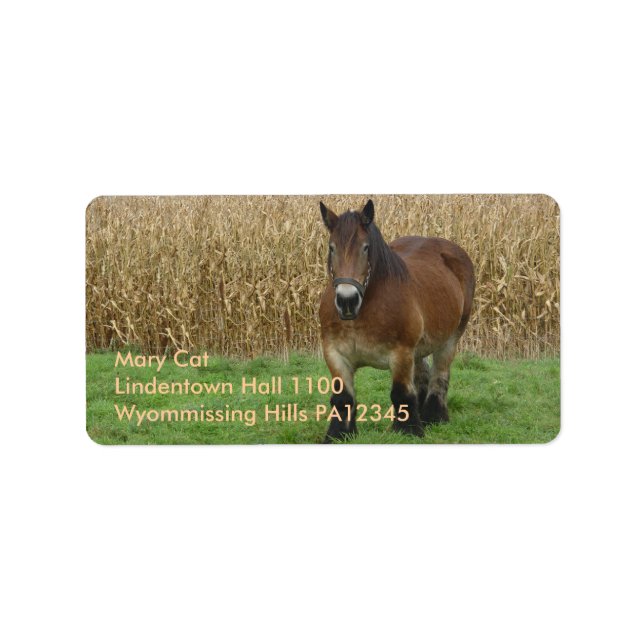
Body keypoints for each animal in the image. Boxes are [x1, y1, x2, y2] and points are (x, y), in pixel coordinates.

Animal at [318, 199, 475, 443]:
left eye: (365, 248)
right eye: (331, 247)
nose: (347, 300)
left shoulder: (401, 353)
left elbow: (401, 394)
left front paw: (409, 430)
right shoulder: (334, 353)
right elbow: (342, 399)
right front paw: (339, 434)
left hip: (451, 338)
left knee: (440, 374)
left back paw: (434, 417)